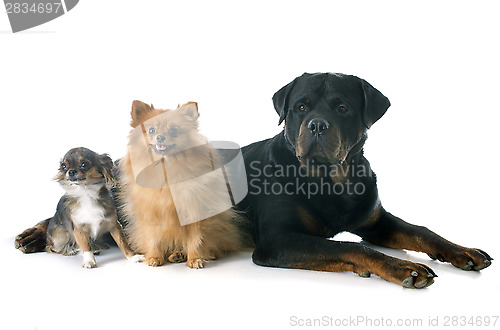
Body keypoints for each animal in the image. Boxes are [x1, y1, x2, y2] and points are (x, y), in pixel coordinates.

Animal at [238, 73, 492, 288]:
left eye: (343, 109)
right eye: (301, 107)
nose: (317, 124)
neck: (331, 181)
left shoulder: (376, 222)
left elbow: (420, 232)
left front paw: (463, 251)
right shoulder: (277, 239)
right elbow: (354, 248)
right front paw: (403, 267)